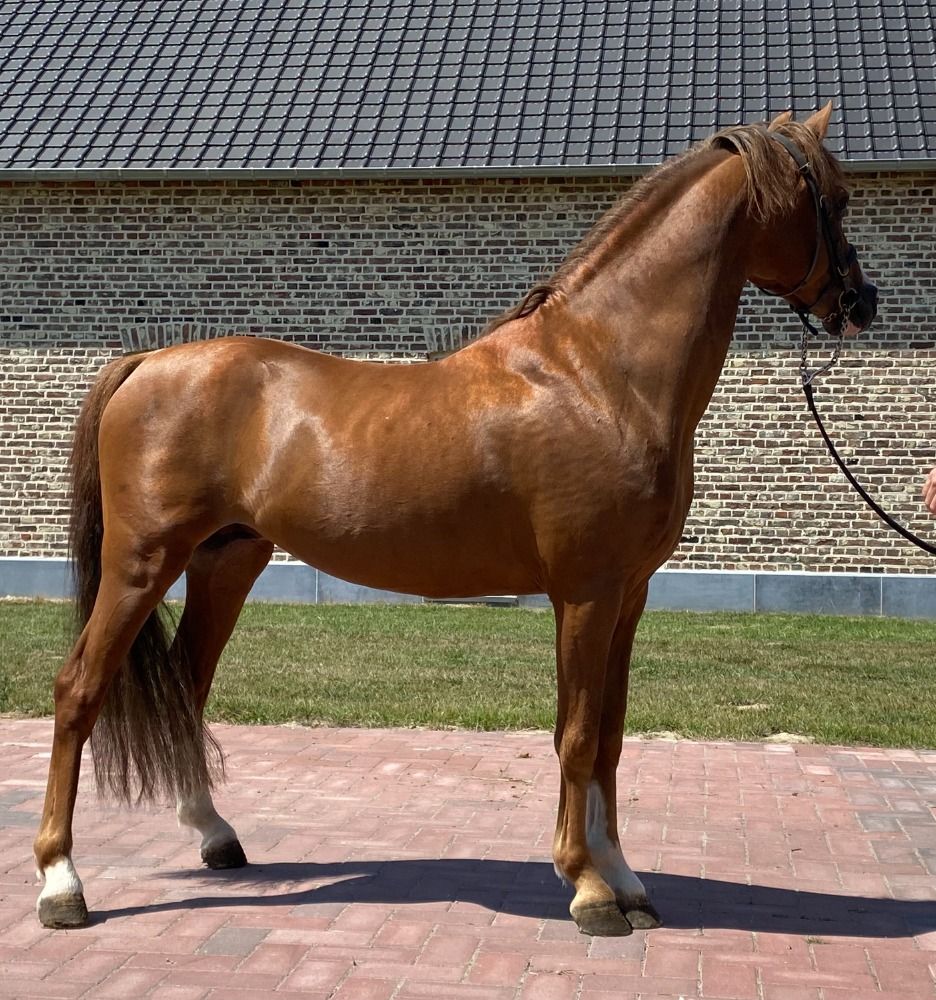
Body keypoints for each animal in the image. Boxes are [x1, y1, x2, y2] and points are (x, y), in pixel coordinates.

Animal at [34, 105, 877, 937]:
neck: (600, 375)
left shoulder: (628, 596)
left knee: (185, 686)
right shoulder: (586, 593)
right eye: (832, 200)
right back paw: (60, 882)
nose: (861, 304)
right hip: (142, 562)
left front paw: (626, 879)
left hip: (227, 561)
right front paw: (588, 888)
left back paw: (214, 836)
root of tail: (147, 362)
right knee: (79, 688)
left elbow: (608, 735)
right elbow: (576, 735)